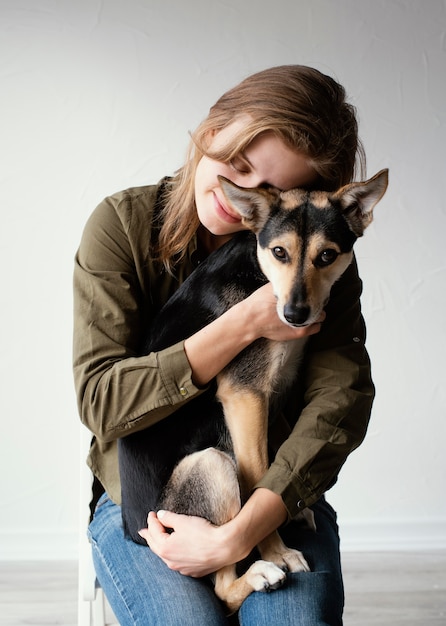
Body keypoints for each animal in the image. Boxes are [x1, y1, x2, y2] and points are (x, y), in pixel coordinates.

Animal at [117, 168, 386, 612]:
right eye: (279, 252)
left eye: (327, 256)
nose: (295, 314)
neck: (259, 274)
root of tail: (135, 532)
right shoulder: (245, 396)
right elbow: (257, 476)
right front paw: (276, 551)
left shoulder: (274, 390)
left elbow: (275, 461)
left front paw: (290, 510)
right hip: (210, 466)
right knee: (222, 587)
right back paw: (260, 574)